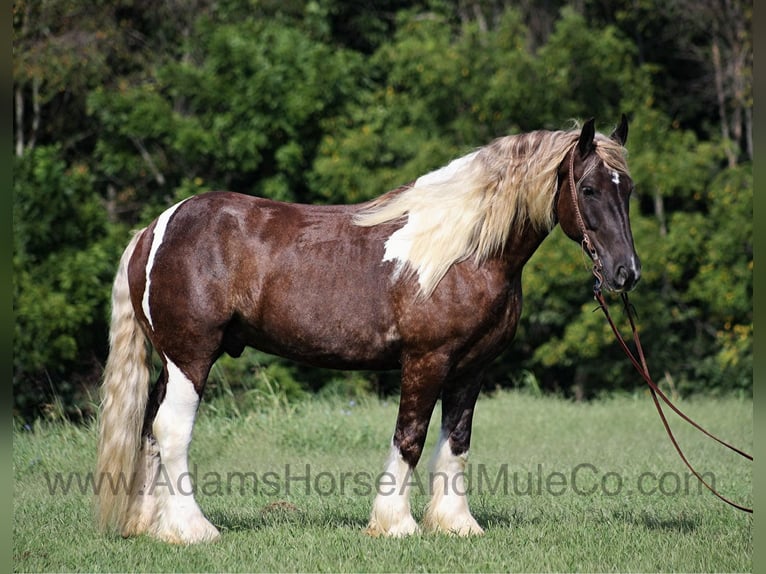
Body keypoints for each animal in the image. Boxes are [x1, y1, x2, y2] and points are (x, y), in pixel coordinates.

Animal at [95, 117, 640, 543]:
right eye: (589, 189)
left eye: (628, 189)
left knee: (150, 428)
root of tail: (155, 229)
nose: (626, 273)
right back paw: (194, 530)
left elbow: (457, 440)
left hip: (171, 362)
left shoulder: (471, 368)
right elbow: (411, 438)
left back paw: (151, 525)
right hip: (191, 357)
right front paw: (396, 523)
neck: (462, 253)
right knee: (172, 429)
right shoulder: (425, 360)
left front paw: (456, 523)